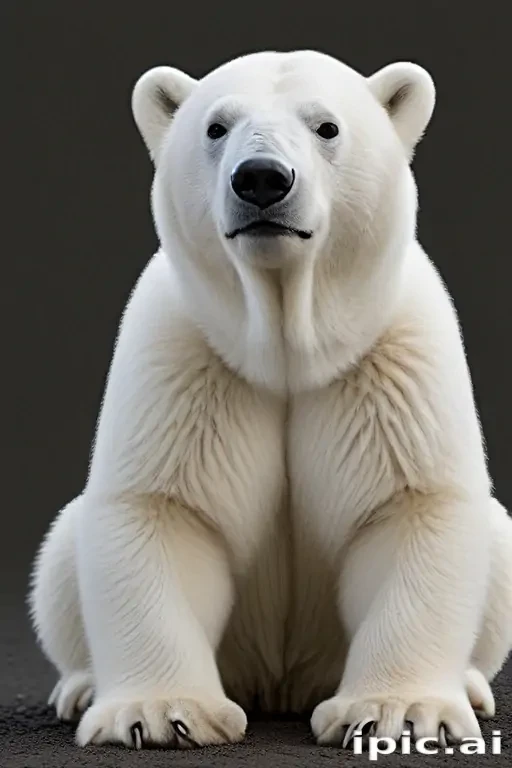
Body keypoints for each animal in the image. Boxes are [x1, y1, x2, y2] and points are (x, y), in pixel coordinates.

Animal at [29, 49, 512, 751]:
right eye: (216, 126)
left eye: (327, 127)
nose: (262, 178)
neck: (285, 347)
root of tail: (281, 681)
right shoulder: (185, 355)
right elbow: (163, 508)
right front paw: (159, 712)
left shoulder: (390, 356)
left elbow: (412, 503)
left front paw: (396, 711)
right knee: (63, 553)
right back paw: (81, 687)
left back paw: (472, 686)